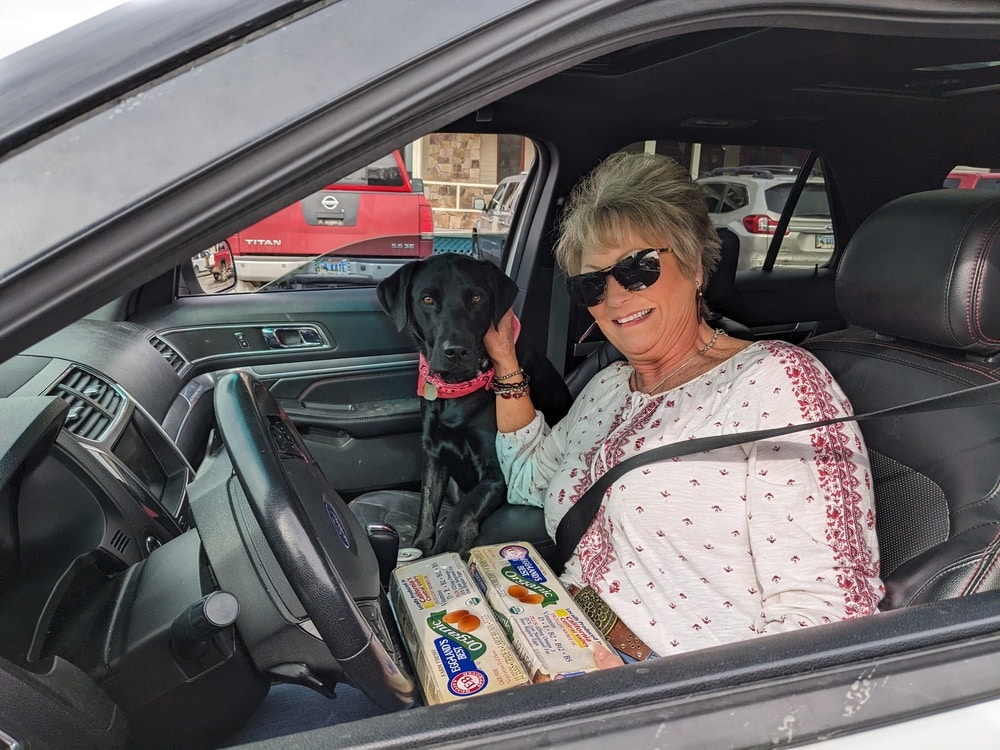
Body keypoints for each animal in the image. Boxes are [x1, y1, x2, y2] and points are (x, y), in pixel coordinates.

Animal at [376, 256, 572, 560]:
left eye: (477, 298)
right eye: (428, 299)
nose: (455, 351)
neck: (459, 389)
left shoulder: (498, 471)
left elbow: (462, 509)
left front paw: (445, 550)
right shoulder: (434, 453)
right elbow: (426, 509)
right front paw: (420, 548)